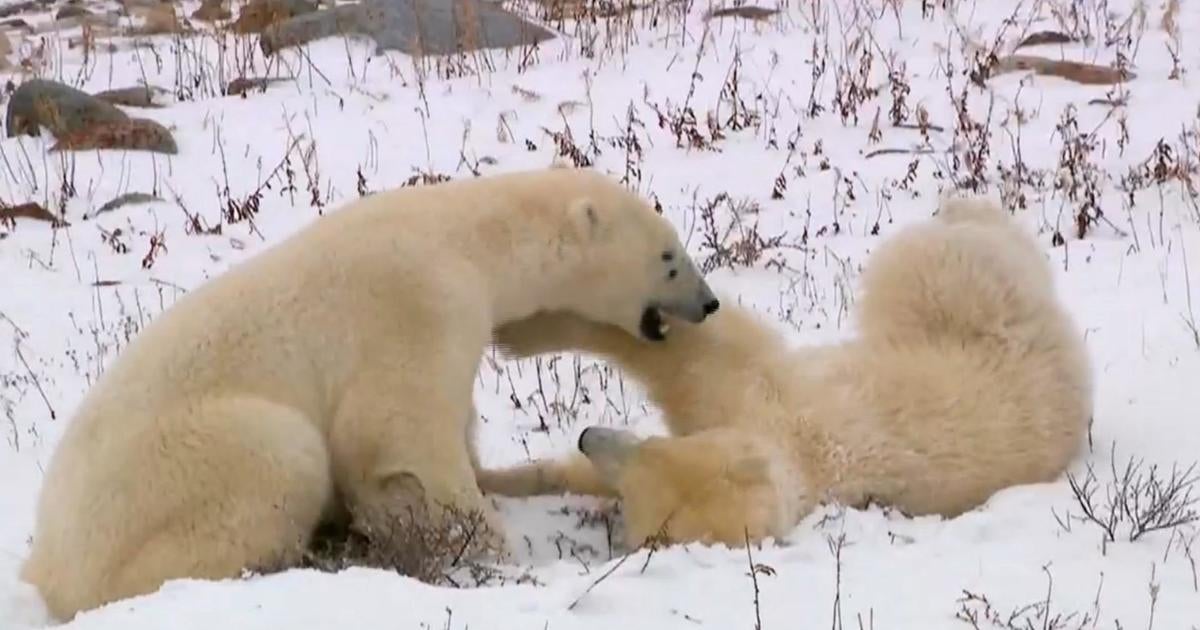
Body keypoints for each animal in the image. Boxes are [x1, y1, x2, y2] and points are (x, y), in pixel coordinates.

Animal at [21, 166, 720, 619]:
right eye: (668, 257)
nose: (710, 303)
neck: (470, 238)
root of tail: (49, 566)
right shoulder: (420, 300)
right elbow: (400, 429)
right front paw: (493, 543)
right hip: (183, 464)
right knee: (280, 457)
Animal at [482, 194, 1094, 547]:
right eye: (650, 448)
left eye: (636, 487)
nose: (588, 435)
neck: (802, 460)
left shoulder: (756, 400)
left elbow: (702, 354)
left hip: (967, 319)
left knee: (949, 256)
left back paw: (963, 207)